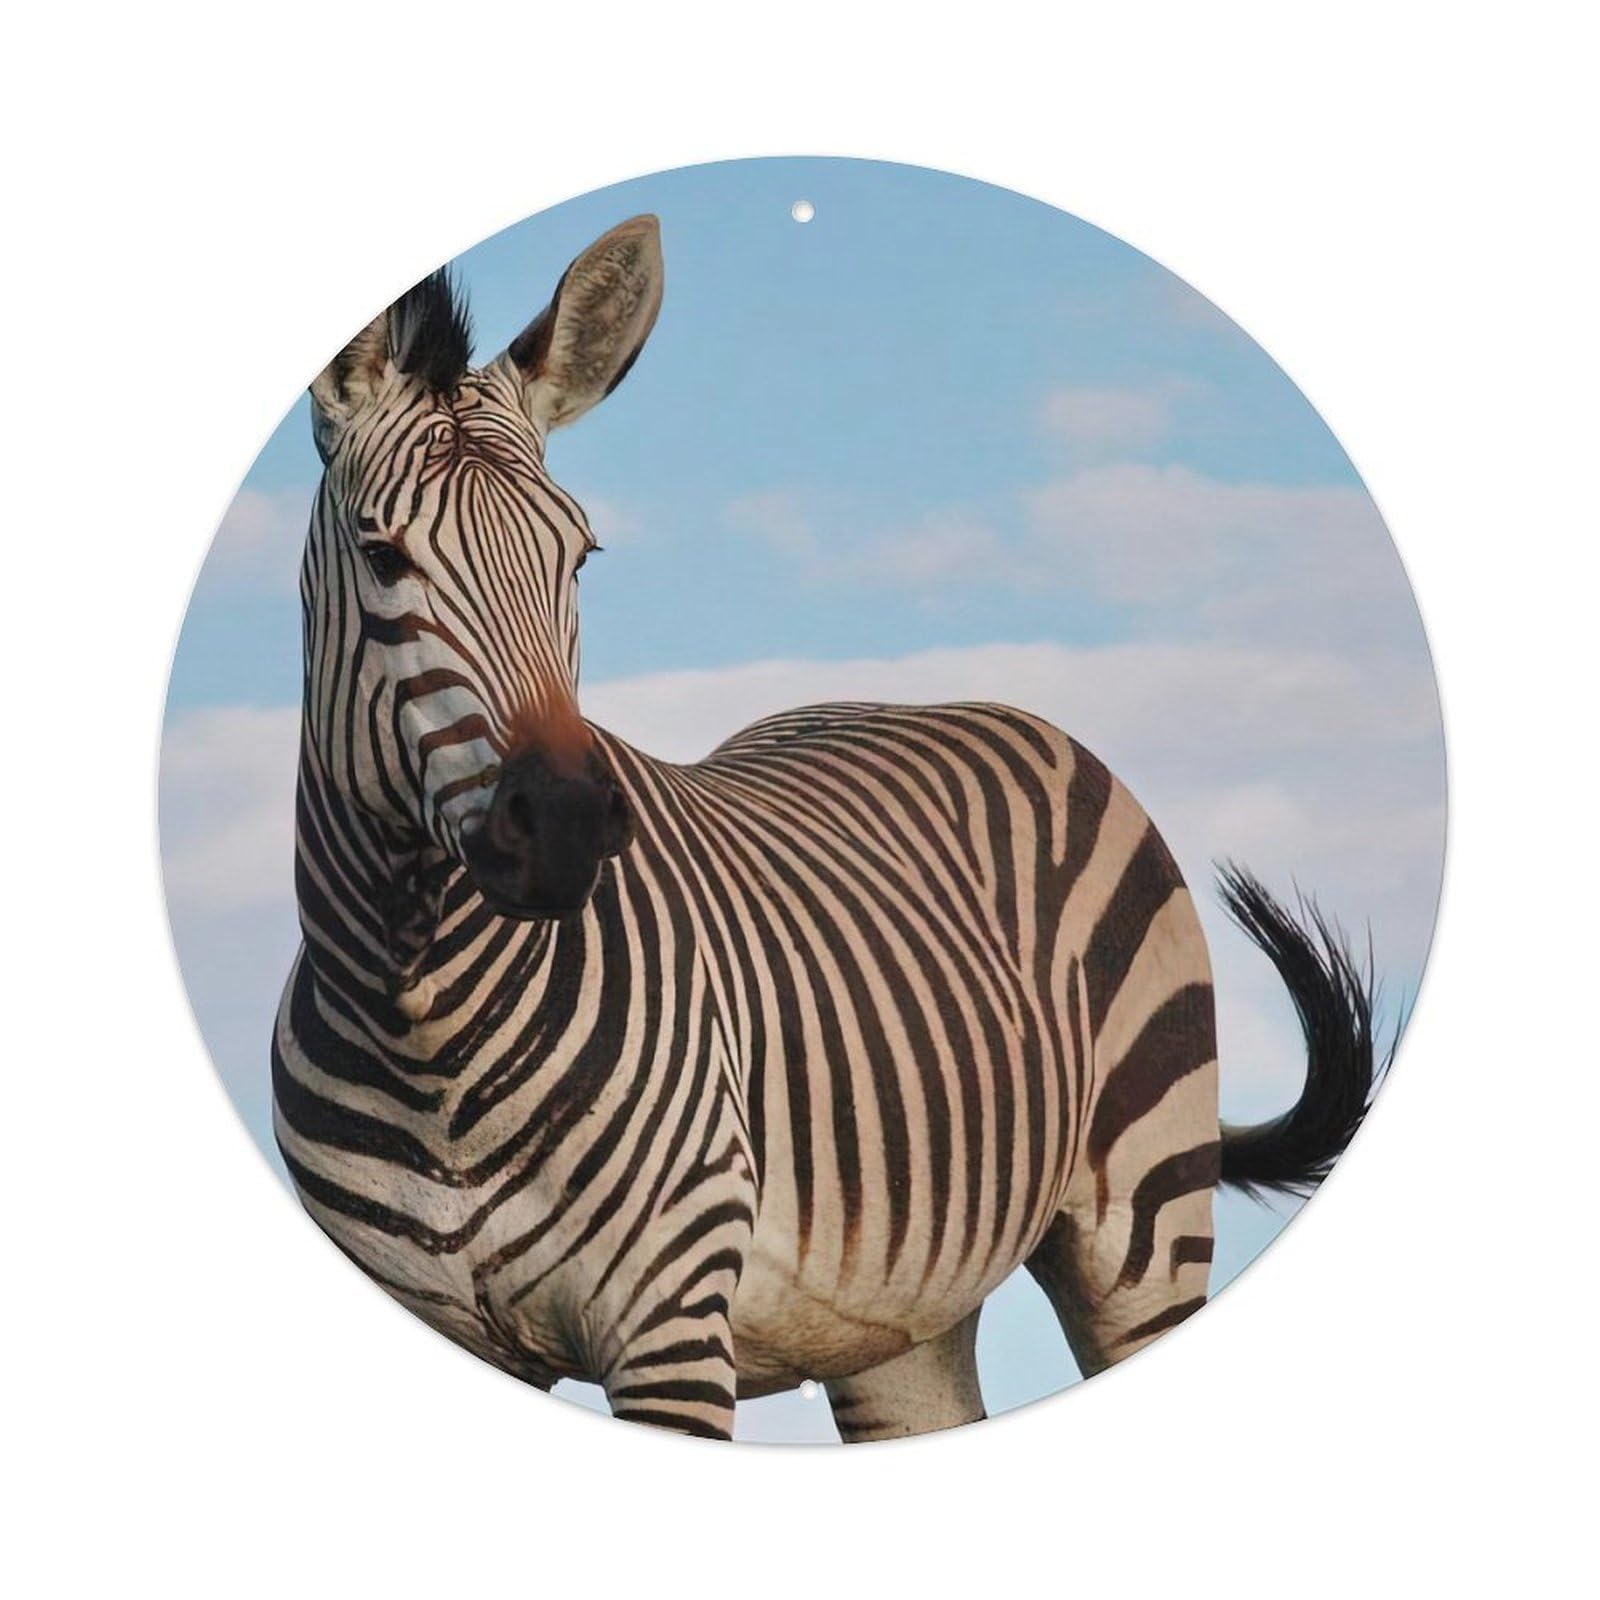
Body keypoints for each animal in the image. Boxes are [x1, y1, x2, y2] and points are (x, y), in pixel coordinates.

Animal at [274, 214, 1383, 1442]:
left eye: (579, 557)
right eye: (383, 555)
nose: (564, 824)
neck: (419, 1012)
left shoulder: (668, 1325)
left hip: (1140, 1215)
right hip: (897, 1320)